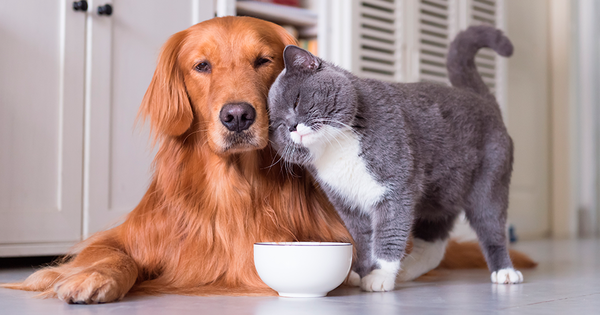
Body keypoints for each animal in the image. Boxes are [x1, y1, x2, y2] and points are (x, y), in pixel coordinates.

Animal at [270, 25, 524, 292]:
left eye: (297, 100)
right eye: (277, 124)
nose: (292, 127)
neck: (336, 148)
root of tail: (482, 99)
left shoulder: (395, 189)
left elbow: (389, 234)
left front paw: (379, 276)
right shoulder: (347, 204)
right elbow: (362, 241)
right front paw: (360, 273)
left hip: (489, 184)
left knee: (492, 228)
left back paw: (505, 272)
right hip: (439, 198)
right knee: (434, 246)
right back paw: (406, 272)